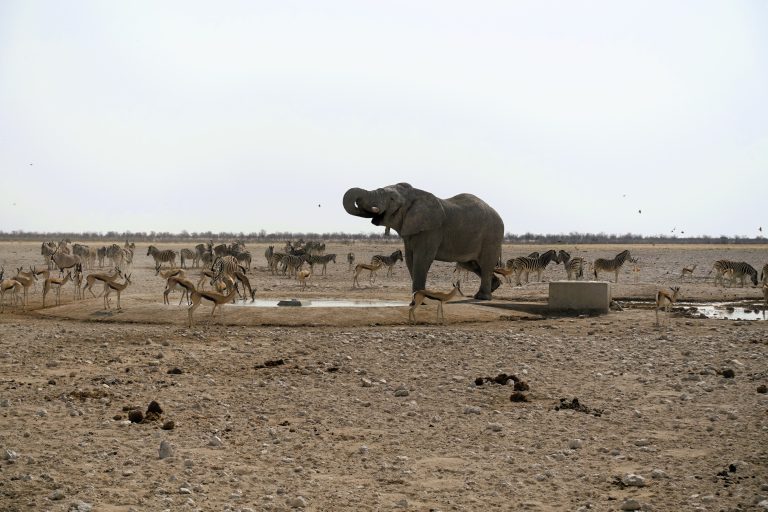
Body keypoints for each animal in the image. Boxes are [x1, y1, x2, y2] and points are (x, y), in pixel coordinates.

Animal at [342, 183, 504, 300]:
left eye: (392, 199)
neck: (414, 195)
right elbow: (410, 259)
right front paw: (417, 295)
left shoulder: (432, 230)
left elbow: (422, 258)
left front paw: (420, 296)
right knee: (471, 264)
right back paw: (494, 286)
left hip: (492, 236)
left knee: (486, 264)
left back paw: (482, 297)